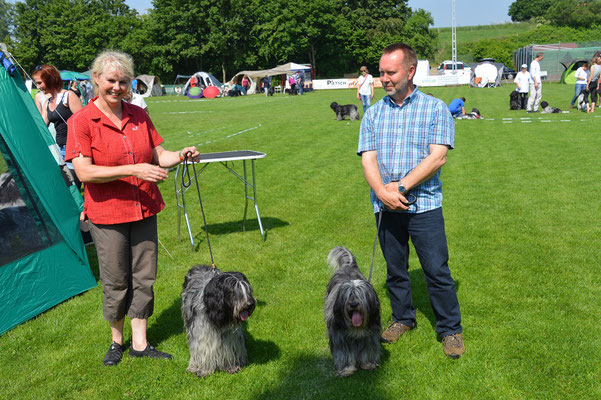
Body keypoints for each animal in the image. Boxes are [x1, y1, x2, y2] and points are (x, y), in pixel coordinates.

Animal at [324, 245, 380, 376]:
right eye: (349, 295)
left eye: (359, 295)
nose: (354, 304)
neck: (356, 329)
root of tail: (348, 266)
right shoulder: (339, 337)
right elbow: (343, 353)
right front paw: (346, 369)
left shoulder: (370, 336)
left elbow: (367, 349)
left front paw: (367, 364)